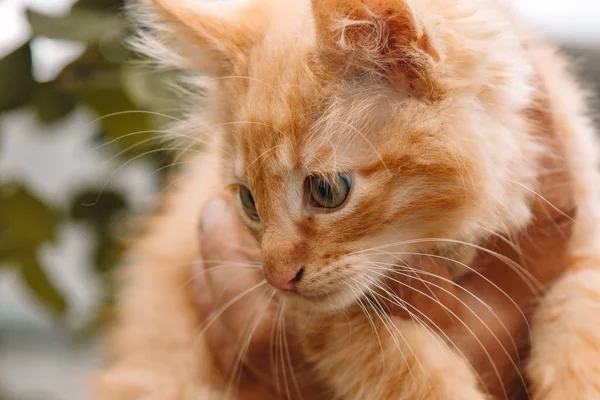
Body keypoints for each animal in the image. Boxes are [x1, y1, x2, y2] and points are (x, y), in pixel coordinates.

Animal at [94, 0, 600, 398]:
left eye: (326, 191)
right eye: (249, 202)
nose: (278, 278)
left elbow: (580, 316)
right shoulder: (318, 316)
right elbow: (403, 366)